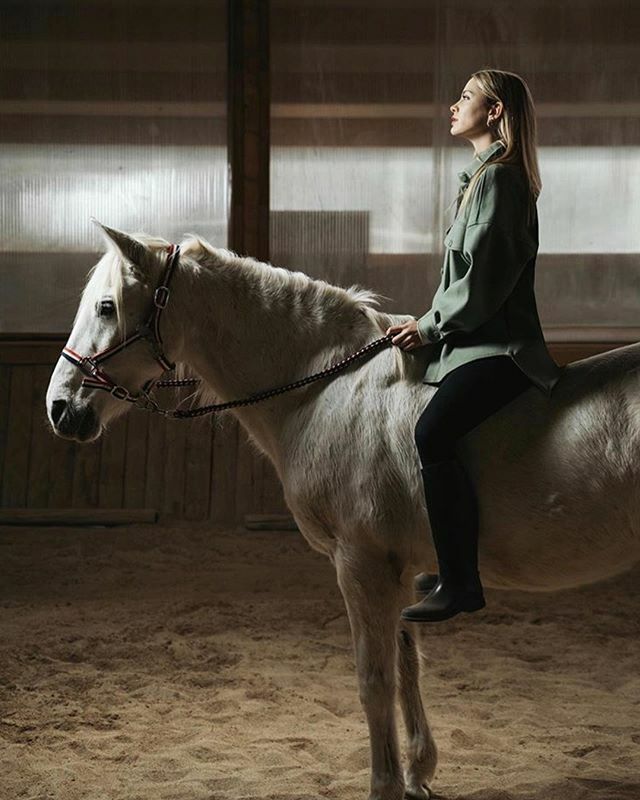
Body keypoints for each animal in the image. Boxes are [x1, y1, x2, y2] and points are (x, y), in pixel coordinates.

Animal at [46, 221, 640, 800]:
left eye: (106, 307)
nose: (60, 409)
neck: (326, 389)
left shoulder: (361, 562)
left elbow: (374, 679)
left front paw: (385, 785)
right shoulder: (400, 568)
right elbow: (406, 665)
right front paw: (418, 773)